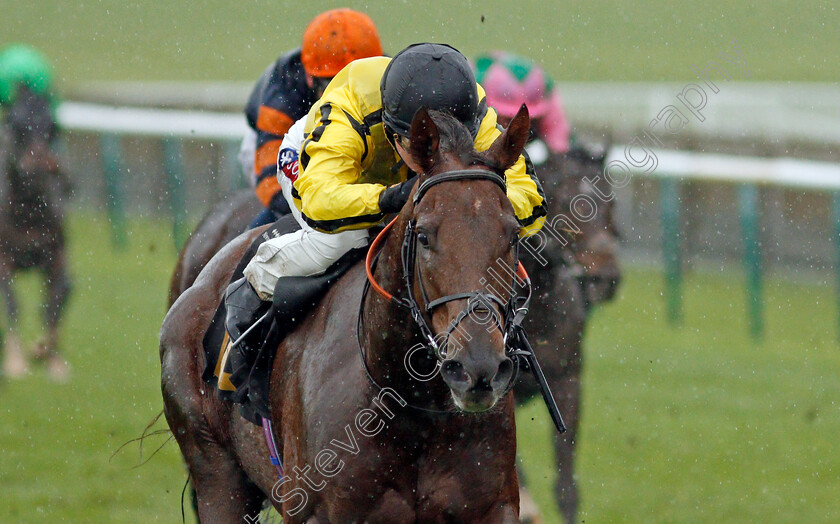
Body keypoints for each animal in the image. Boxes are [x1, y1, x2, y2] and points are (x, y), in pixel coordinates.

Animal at [159, 108, 532, 520]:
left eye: (513, 234)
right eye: (424, 236)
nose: (478, 368)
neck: (409, 400)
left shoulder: (492, 506)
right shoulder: (314, 510)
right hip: (217, 476)